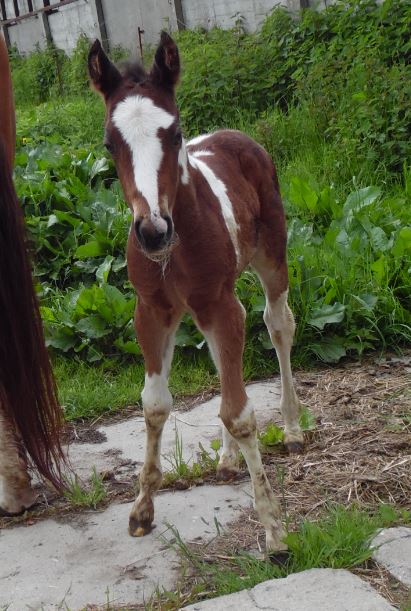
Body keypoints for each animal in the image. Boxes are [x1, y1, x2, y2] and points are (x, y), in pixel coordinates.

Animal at [88, 33, 304, 560]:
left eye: (175, 134)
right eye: (109, 144)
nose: (152, 231)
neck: (176, 246)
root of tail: (235, 134)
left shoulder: (218, 306)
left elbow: (241, 413)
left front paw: (274, 532)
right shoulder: (154, 312)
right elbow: (155, 404)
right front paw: (142, 510)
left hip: (271, 259)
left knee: (277, 324)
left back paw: (292, 429)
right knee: (225, 362)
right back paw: (227, 460)